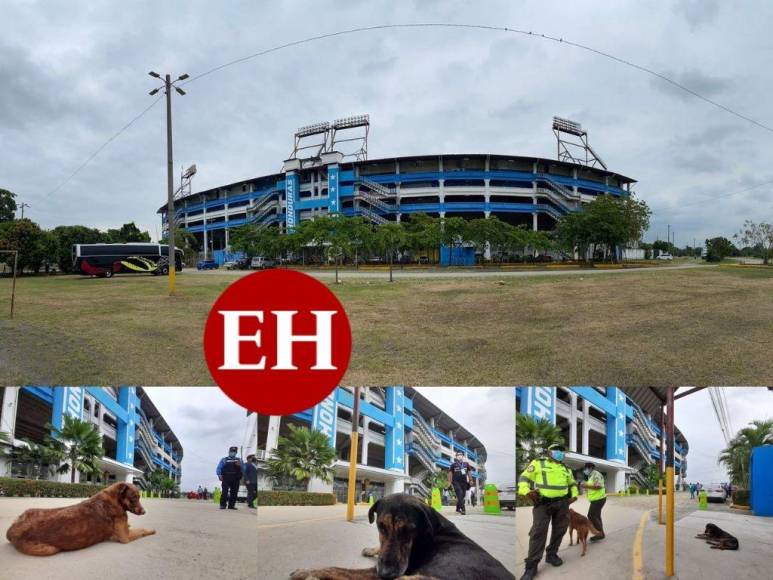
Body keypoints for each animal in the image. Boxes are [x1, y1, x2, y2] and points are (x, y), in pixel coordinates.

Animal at [5, 480, 155, 556]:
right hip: (50, 549)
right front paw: (151, 530)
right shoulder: (125, 537)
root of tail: (11, 531)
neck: (115, 499)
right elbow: (142, 530)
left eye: (140, 497)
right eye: (133, 498)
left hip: (29, 511)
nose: (144, 512)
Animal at [290, 494, 512, 580]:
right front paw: (371, 549)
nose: (386, 573)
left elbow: (337, 568)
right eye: (381, 526)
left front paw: (307, 571)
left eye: (408, 531)